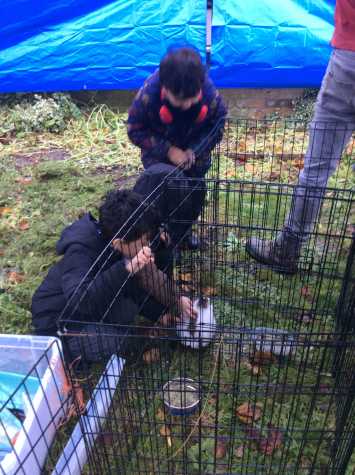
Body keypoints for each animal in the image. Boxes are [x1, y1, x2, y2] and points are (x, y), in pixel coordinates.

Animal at [31, 188, 196, 362]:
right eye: (143, 240)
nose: (150, 246)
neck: (106, 244)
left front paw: (180, 305)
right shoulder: (81, 251)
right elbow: (80, 293)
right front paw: (134, 262)